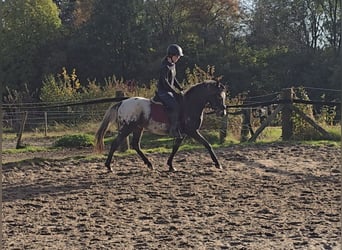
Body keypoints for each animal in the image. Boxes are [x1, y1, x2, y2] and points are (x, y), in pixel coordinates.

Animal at [93, 79, 227, 173]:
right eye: (218, 96)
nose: (223, 112)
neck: (189, 104)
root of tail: (122, 102)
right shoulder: (192, 131)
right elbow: (207, 144)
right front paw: (218, 164)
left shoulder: (182, 134)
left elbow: (175, 148)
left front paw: (171, 166)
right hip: (127, 128)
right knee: (115, 144)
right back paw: (109, 166)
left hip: (138, 128)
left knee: (135, 145)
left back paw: (149, 164)